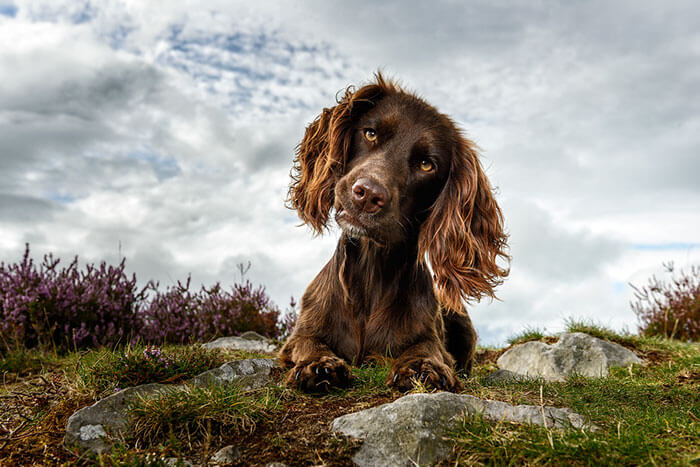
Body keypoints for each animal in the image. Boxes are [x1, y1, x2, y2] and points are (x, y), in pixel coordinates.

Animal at [278, 75, 508, 394]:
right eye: (371, 133)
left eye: (426, 164)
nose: (367, 194)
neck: (371, 270)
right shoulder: (300, 334)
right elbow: (308, 343)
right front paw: (319, 365)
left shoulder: (430, 337)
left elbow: (426, 349)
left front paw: (423, 367)